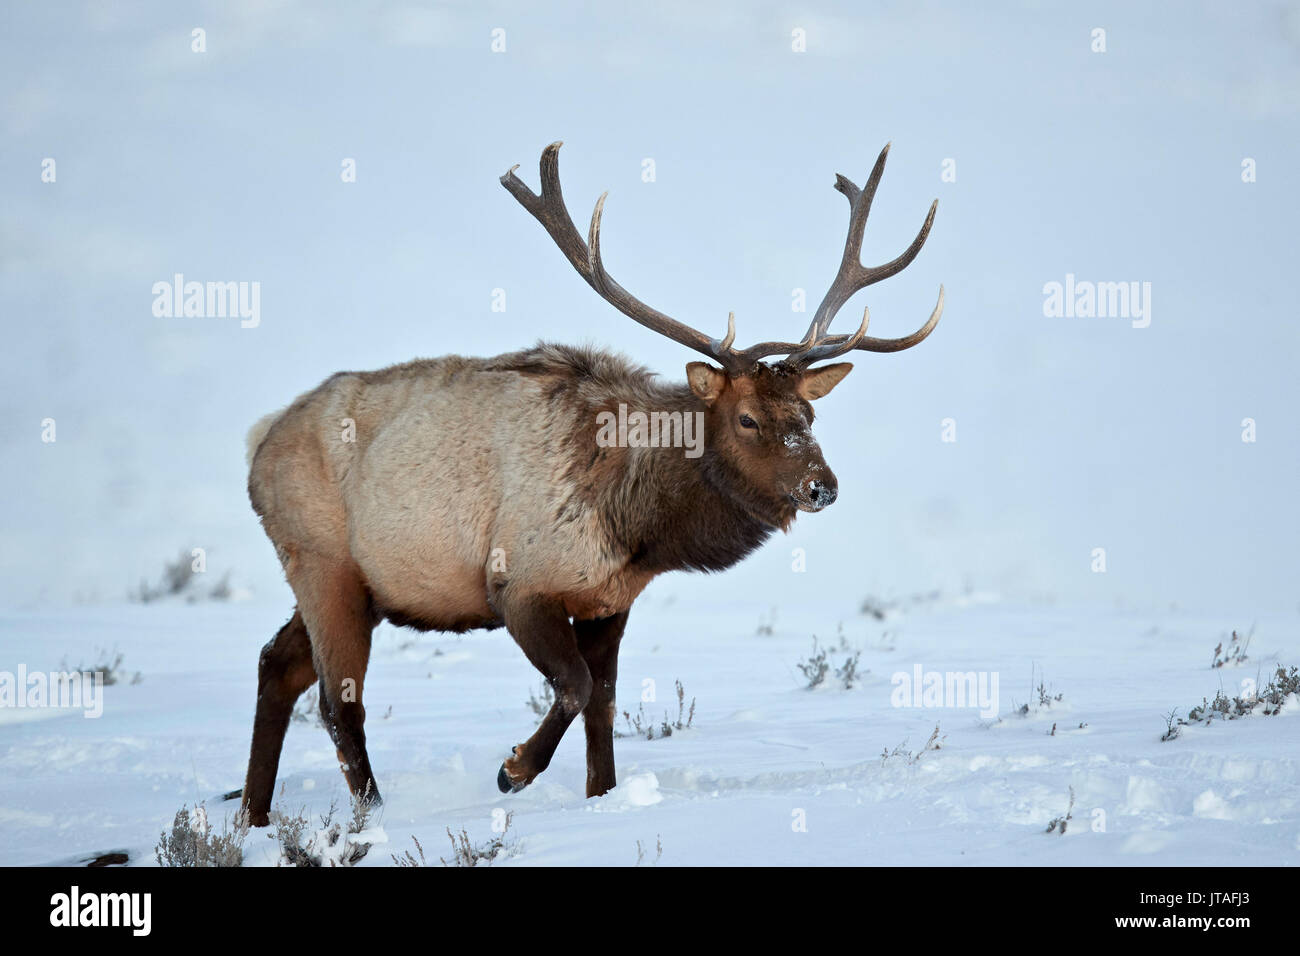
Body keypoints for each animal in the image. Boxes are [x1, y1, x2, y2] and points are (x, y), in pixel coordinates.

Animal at [239, 140, 941, 822]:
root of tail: (259, 442)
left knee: (277, 664)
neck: (637, 527)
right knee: (339, 703)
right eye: (747, 418)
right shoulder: (518, 583)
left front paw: (601, 796)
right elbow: (574, 687)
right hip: (323, 564)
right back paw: (371, 816)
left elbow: (602, 702)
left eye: (809, 414)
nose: (822, 486)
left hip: (359, 584)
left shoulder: (610, 599)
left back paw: (253, 815)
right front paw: (513, 768)